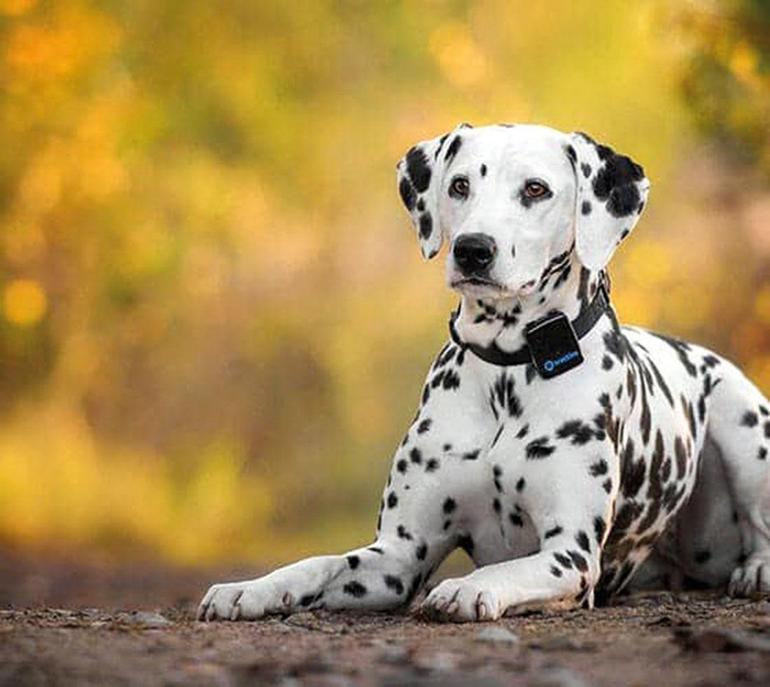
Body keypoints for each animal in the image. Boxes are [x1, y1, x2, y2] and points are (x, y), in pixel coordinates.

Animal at [196, 123, 768, 624]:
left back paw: (757, 571)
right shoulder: (396, 557)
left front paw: (467, 589)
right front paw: (251, 588)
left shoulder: (570, 555)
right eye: (460, 185)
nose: (473, 248)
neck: (508, 372)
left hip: (743, 427)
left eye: (536, 189)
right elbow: (319, 563)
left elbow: (508, 570)